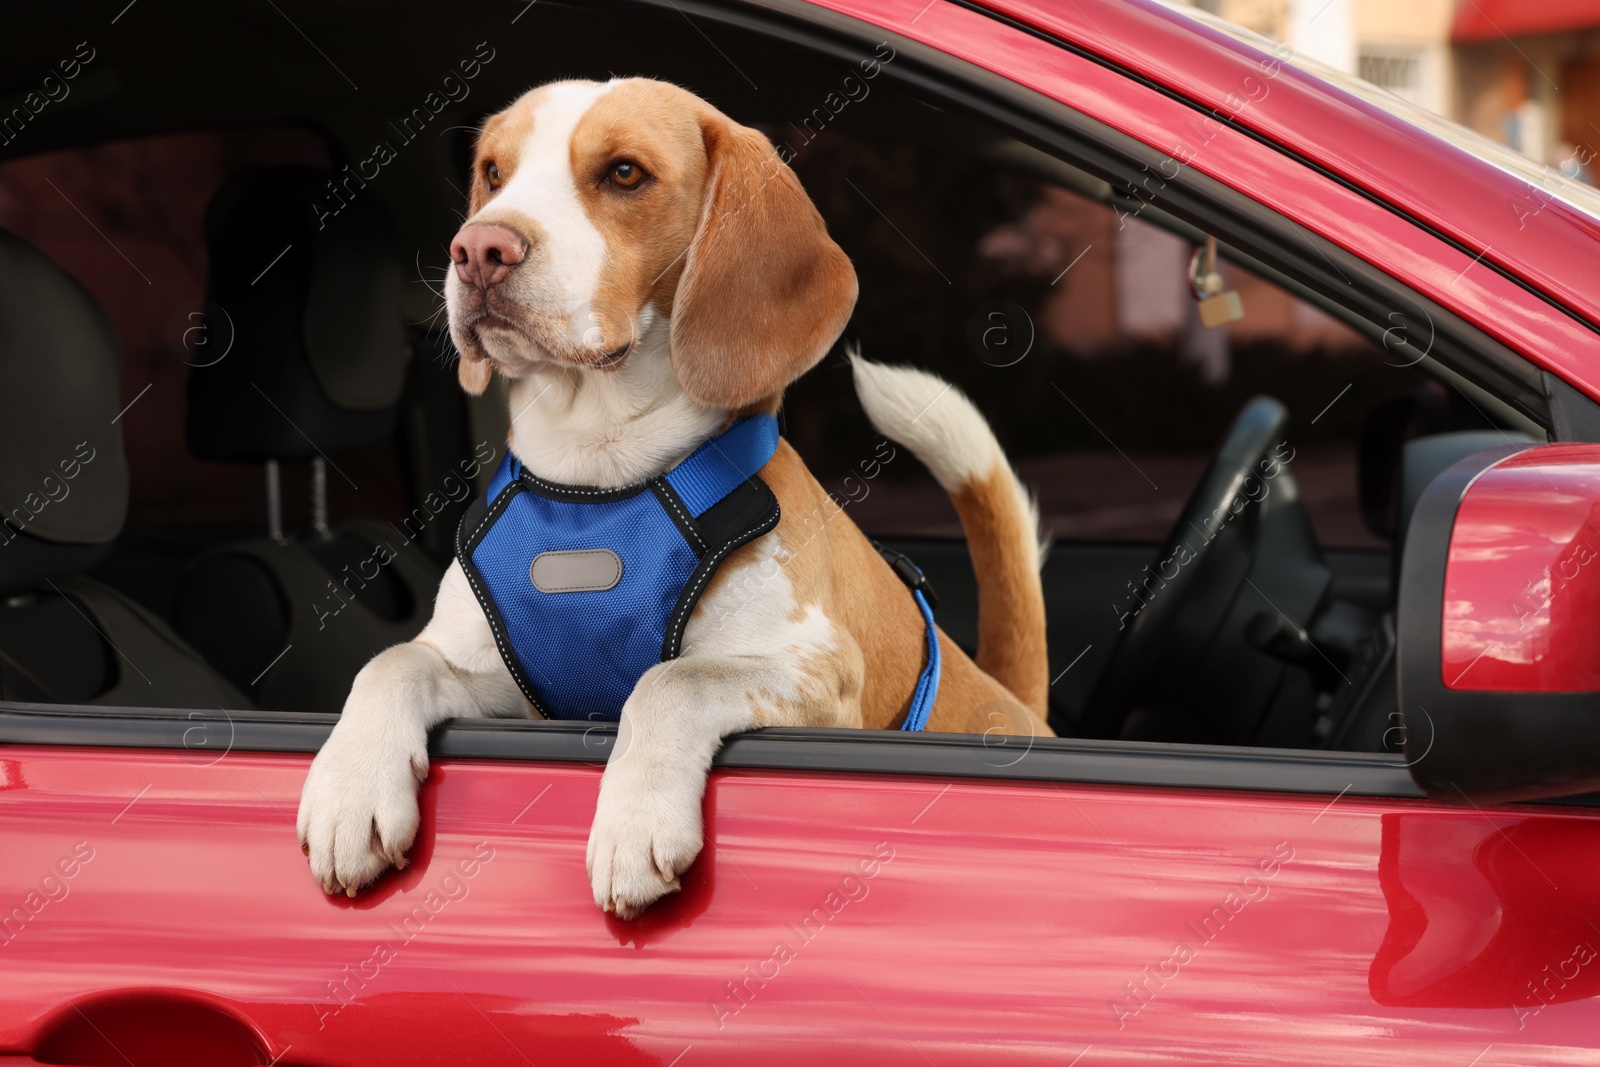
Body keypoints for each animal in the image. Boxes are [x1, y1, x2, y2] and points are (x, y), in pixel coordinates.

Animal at [297, 77, 1049, 921]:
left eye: (625, 173)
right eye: (493, 172)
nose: (479, 249)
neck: (596, 477)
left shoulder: (816, 671)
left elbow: (666, 681)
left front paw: (634, 821)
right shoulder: (498, 680)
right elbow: (391, 660)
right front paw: (352, 786)